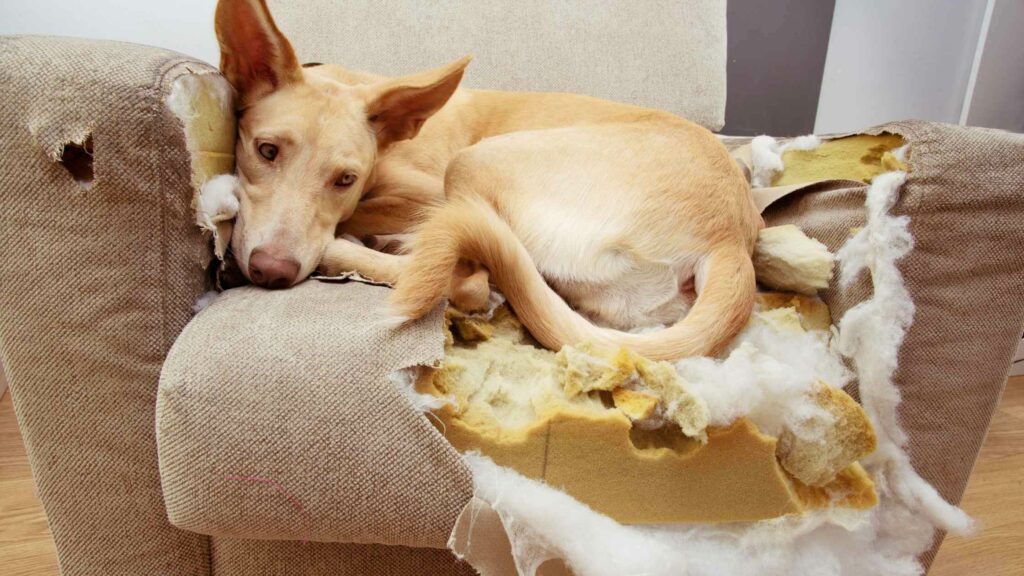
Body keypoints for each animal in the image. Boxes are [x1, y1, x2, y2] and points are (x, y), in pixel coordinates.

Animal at [216, 0, 761, 358]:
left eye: (345, 180)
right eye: (266, 151)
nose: (271, 272)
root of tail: (731, 237)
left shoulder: (426, 191)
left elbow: (374, 220)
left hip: (474, 162)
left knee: (471, 279)